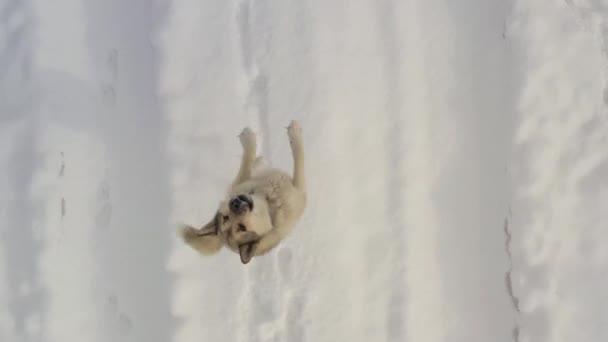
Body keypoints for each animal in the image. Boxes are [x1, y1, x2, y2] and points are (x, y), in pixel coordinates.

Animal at [178, 120, 306, 264]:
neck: (267, 198)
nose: (235, 204)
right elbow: (299, 157)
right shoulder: (300, 189)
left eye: (226, 217)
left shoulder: (241, 182)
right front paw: (295, 133)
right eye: (242, 228)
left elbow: (247, 164)